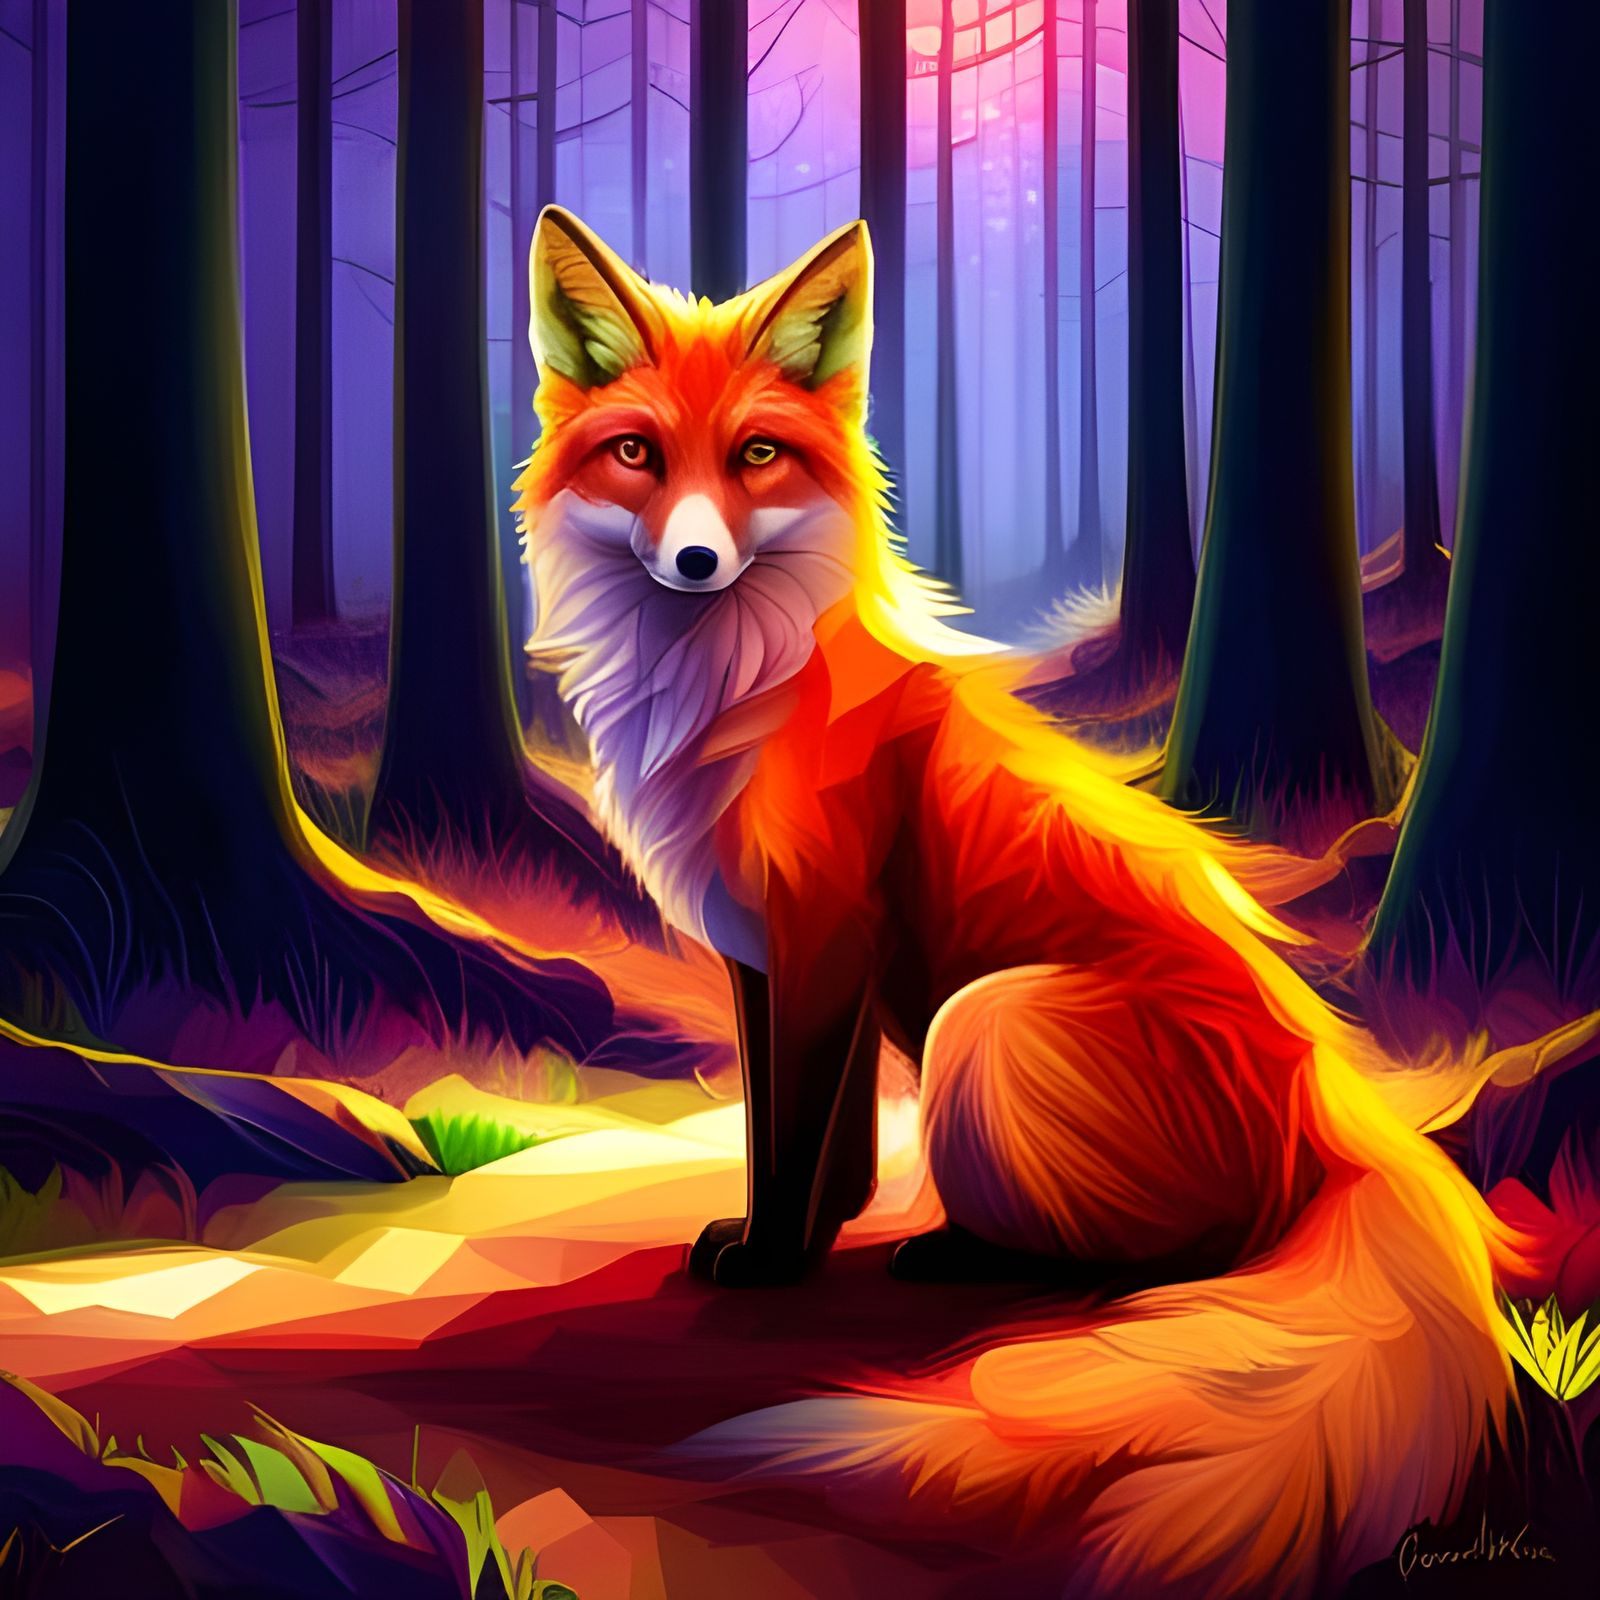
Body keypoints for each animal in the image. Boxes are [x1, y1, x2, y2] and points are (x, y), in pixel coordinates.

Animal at [512, 207, 1574, 1596]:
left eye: (756, 455)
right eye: (637, 453)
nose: (694, 557)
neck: (734, 686)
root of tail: (1337, 1114)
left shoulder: (823, 934)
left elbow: (794, 1133)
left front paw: (774, 1263)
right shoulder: (767, 952)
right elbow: (815, 1141)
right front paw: (800, 1229)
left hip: (988, 1019)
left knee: (1193, 1255)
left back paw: (967, 1252)